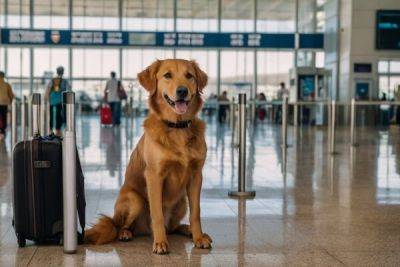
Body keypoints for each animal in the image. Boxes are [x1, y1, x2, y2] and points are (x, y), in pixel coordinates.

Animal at [85, 59, 212, 255]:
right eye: (167, 75)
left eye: (189, 76)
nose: (182, 91)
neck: (177, 127)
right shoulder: (154, 175)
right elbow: (157, 214)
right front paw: (160, 243)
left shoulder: (196, 175)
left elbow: (196, 212)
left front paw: (198, 238)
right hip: (135, 200)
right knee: (122, 226)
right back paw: (126, 233)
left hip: (182, 202)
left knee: (173, 227)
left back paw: (188, 230)